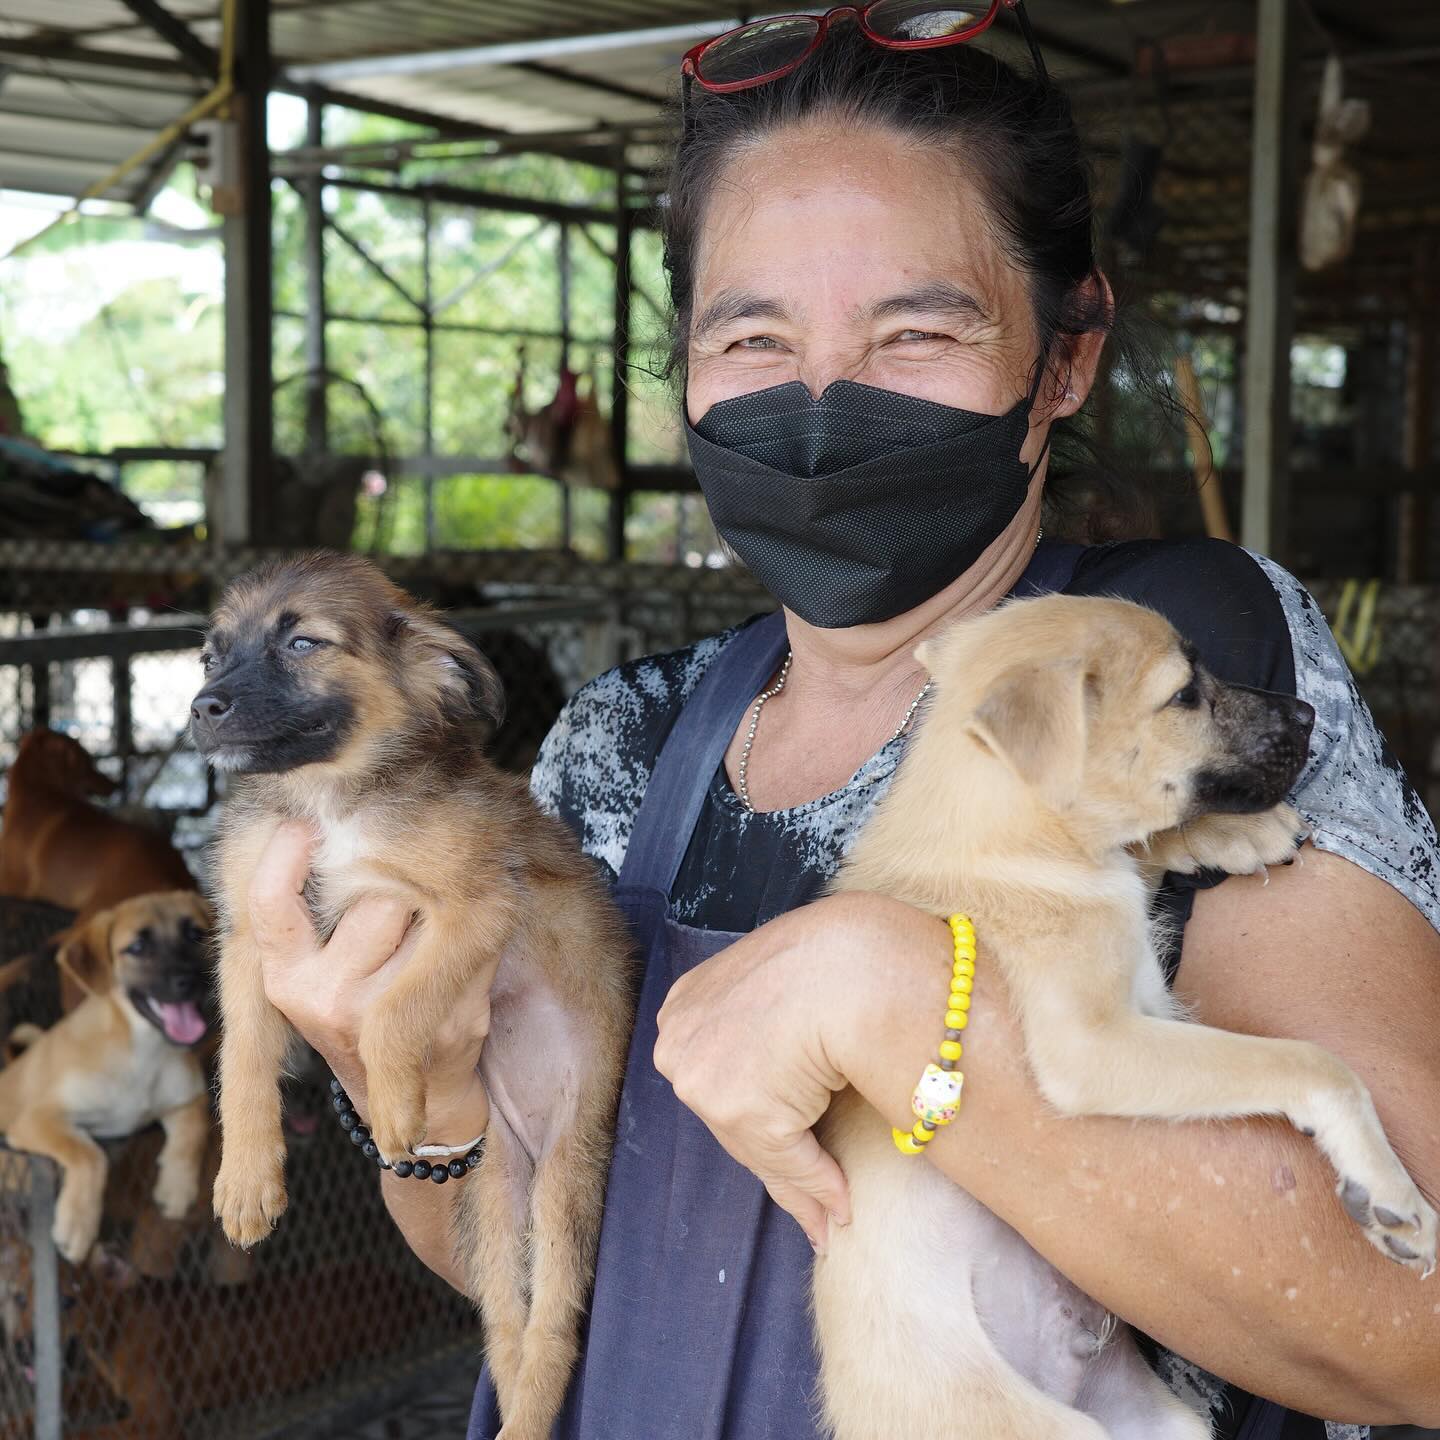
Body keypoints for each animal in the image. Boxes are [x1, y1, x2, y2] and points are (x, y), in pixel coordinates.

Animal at [0, 892, 211, 1267]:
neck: (143, 1051)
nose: (190, 980)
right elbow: (89, 1154)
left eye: (195, 934)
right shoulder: (36, 1120)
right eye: (137, 947)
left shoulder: (190, 1098)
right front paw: (76, 1227)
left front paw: (176, 1188)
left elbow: (195, 1131)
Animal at [191, 550, 636, 1440]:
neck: (330, 802)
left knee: (555, 1330)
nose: (200, 707)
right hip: (492, 1204)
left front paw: (395, 1106)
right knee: (506, 1330)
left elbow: (394, 1012)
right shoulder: (249, 935)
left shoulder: (475, 908)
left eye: (302, 642)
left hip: (569, 1183)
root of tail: (530, 1150)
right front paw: (247, 1180)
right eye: (209, 655)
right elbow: (243, 1060)